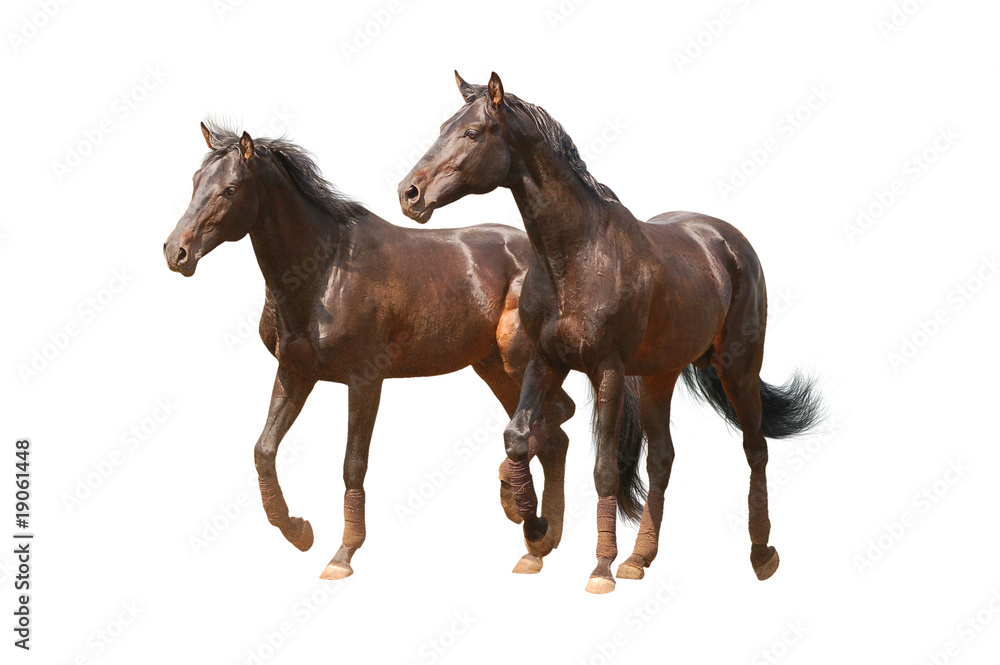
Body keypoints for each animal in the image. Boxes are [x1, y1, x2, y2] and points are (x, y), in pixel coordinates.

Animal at [162, 121, 645, 580]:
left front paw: (342, 555)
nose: (176, 251)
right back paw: (538, 542)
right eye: (195, 180)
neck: (324, 270)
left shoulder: (364, 380)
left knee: (551, 422)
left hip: (520, 362)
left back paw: (521, 511)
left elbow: (353, 464)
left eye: (229, 189)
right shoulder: (295, 373)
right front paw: (298, 531)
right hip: (493, 368)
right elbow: (263, 450)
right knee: (551, 436)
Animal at [399, 72, 822, 593]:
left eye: (473, 132)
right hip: (661, 376)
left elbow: (604, 468)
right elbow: (517, 435)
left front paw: (599, 567)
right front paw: (534, 533)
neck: (577, 256)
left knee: (755, 448)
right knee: (662, 458)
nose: (410, 194)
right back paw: (639, 558)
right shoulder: (546, 362)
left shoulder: (608, 371)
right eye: (444, 127)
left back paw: (761, 555)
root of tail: (728, 241)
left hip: (738, 368)